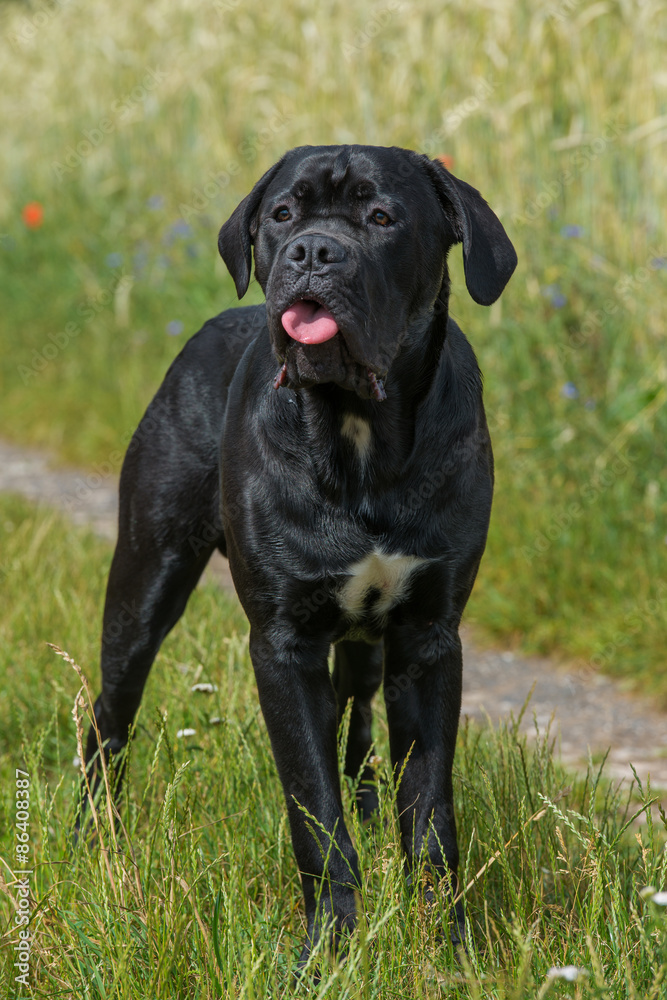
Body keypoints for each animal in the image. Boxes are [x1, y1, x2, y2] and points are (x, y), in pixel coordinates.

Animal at [85, 145, 516, 964]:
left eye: (381, 217)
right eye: (283, 213)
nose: (313, 252)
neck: (357, 433)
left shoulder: (428, 639)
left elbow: (430, 810)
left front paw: (447, 947)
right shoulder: (283, 645)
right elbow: (313, 809)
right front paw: (330, 951)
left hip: (364, 645)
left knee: (359, 718)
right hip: (146, 578)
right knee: (109, 713)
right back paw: (94, 838)